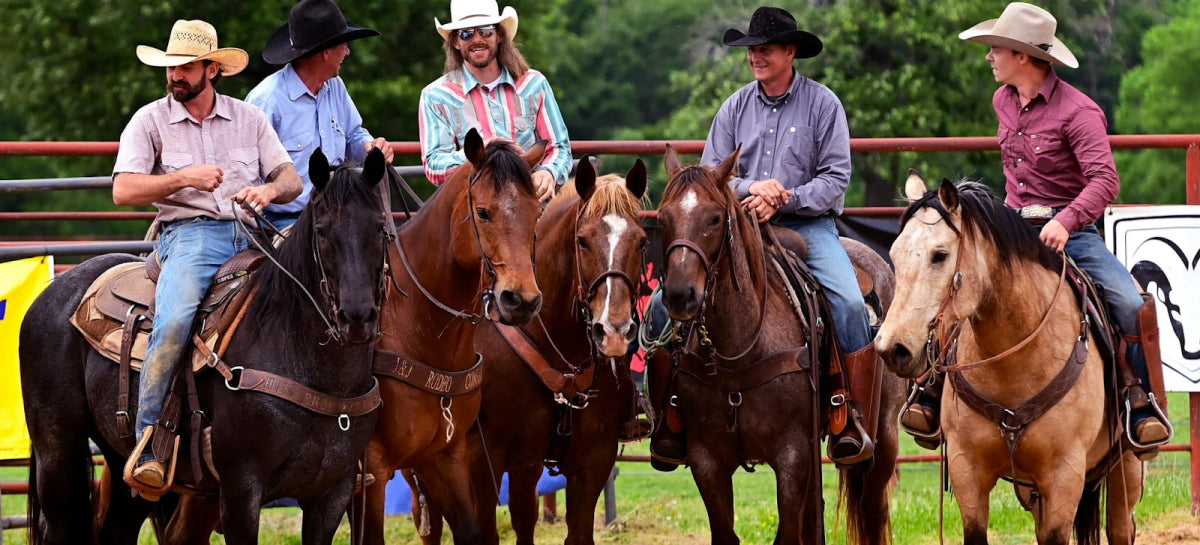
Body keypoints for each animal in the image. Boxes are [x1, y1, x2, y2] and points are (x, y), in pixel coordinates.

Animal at [19, 148, 388, 545]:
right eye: (321, 232)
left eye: (380, 227)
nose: (357, 316)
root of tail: (57, 291)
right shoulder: (241, 490)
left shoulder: (332, 493)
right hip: (58, 453)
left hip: (121, 463)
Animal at [352, 129, 547, 545]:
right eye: (484, 212)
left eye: (536, 212)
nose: (521, 299)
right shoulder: (370, 467)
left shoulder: (446, 455)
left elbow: (471, 530)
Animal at [405, 154, 652, 542]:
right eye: (582, 241)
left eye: (641, 241)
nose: (613, 331)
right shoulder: (480, 461)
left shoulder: (590, 462)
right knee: (426, 520)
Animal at [648, 145, 902, 545]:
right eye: (663, 216)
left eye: (715, 218)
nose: (679, 294)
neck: (737, 351)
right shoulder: (707, 460)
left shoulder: (792, 455)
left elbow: (788, 532)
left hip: (884, 437)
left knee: (873, 509)